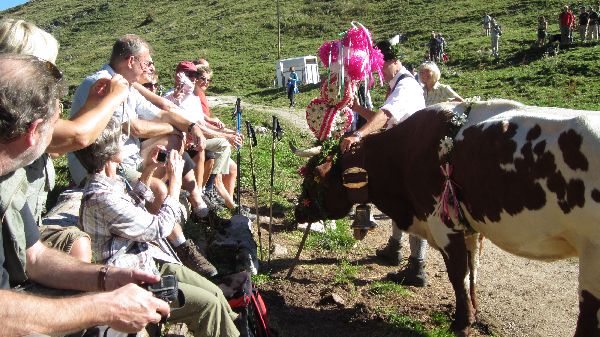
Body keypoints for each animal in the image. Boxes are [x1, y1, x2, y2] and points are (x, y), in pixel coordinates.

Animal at [294, 99, 600, 336]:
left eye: (311, 180)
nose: (298, 213)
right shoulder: (469, 225)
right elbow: (473, 272)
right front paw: (475, 314)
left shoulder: (442, 224)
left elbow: (457, 275)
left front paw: (461, 323)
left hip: (592, 253)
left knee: (588, 312)